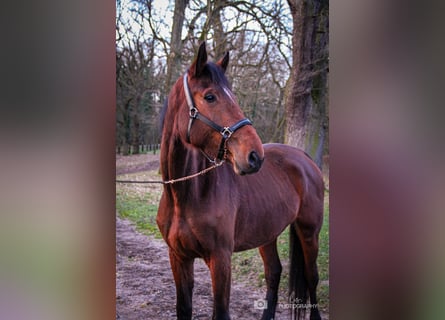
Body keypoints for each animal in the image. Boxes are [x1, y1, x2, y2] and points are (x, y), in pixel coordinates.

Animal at [156, 43, 322, 320]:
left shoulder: (221, 259)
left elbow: (221, 312)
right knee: (274, 273)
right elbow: (183, 309)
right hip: (268, 232)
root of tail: (306, 159)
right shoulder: (178, 258)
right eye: (210, 97)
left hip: (309, 232)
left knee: (311, 278)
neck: (187, 196)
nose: (254, 156)